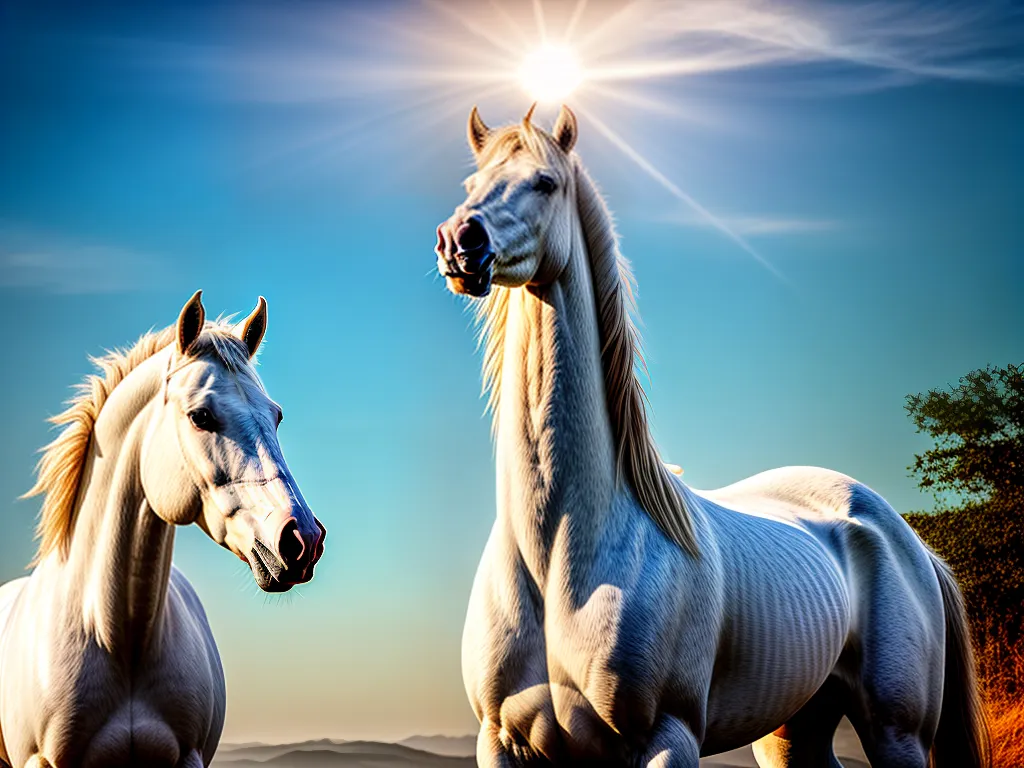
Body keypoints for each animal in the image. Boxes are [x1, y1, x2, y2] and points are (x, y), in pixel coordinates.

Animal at [434, 105, 989, 768]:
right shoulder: (500, 739)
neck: (562, 553)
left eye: (545, 182)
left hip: (898, 732)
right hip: (794, 730)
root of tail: (911, 543)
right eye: (471, 184)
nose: (460, 243)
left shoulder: (667, 736)